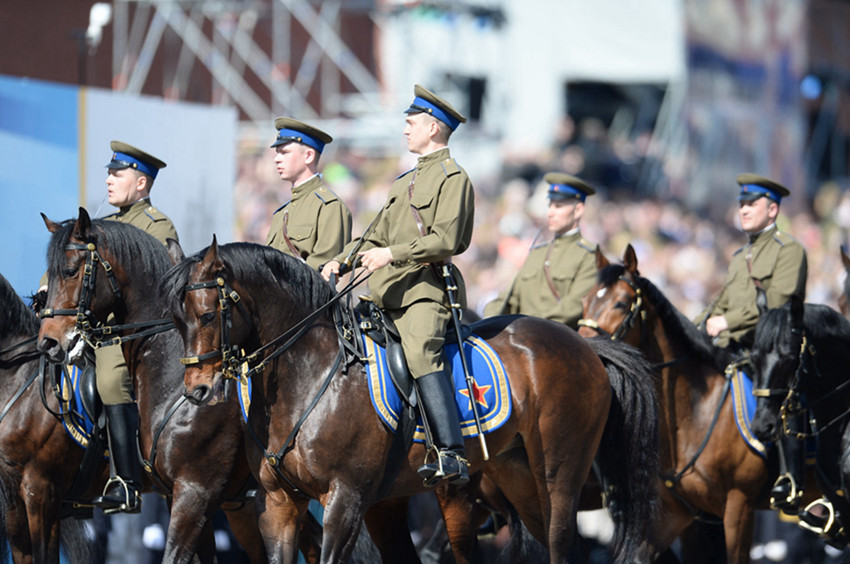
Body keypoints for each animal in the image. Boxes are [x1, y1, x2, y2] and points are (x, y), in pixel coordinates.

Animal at [161, 238, 656, 564]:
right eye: (176, 318)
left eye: (208, 314)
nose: (198, 391)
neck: (311, 377)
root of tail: (584, 346)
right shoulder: (280, 504)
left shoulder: (346, 501)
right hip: (515, 476)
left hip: (559, 476)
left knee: (560, 543)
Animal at [576, 246, 820, 564]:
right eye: (585, 302)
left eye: (620, 302)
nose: (583, 351)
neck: (695, 415)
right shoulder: (678, 513)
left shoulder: (738, 506)